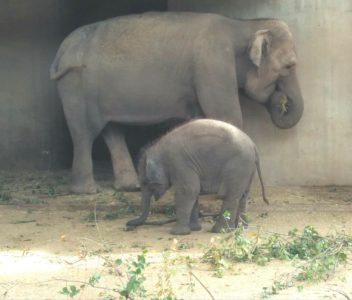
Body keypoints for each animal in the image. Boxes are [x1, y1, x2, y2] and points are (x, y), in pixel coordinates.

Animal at [51, 11, 304, 193]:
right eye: (289, 65)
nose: (281, 99)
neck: (241, 26)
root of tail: (61, 52)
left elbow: (203, 119)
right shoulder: (213, 63)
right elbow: (226, 116)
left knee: (112, 130)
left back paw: (129, 187)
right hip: (75, 85)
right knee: (84, 132)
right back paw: (86, 191)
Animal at [128, 118, 268, 234]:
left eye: (146, 182)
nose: (128, 224)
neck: (157, 147)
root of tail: (253, 145)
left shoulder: (179, 163)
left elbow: (188, 191)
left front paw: (177, 233)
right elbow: (193, 192)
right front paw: (194, 229)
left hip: (238, 166)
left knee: (230, 196)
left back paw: (219, 231)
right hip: (248, 169)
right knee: (243, 195)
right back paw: (241, 228)